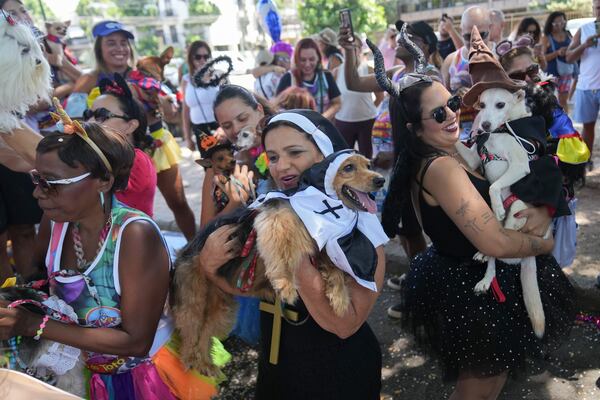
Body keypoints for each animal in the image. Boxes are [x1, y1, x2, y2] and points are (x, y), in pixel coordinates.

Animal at [458, 87, 548, 338]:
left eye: (500, 104)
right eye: (481, 105)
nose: (484, 125)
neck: (499, 132)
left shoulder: (519, 166)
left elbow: (493, 187)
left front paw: (498, 204)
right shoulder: (473, 157)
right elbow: (458, 145)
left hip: (517, 211)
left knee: (505, 251)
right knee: (492, 253)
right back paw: (484, 271)